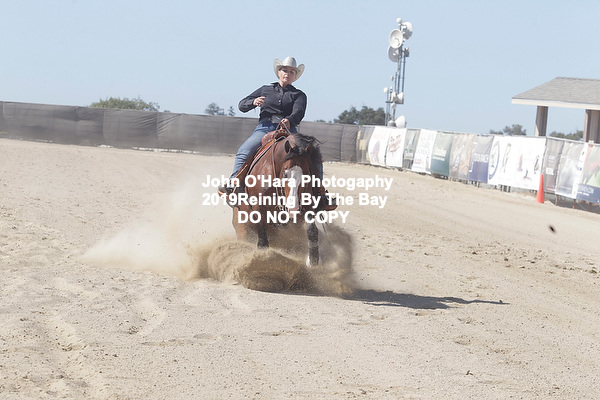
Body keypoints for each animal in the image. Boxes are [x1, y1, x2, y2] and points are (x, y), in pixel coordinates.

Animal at [230, 130, 324, 266]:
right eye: (285, 173)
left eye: (307, 175)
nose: (293, 207)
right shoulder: (259, 207)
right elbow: (262, 240)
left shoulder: (308, 205)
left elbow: (312, 232)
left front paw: (314, 261)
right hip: (242, 228)